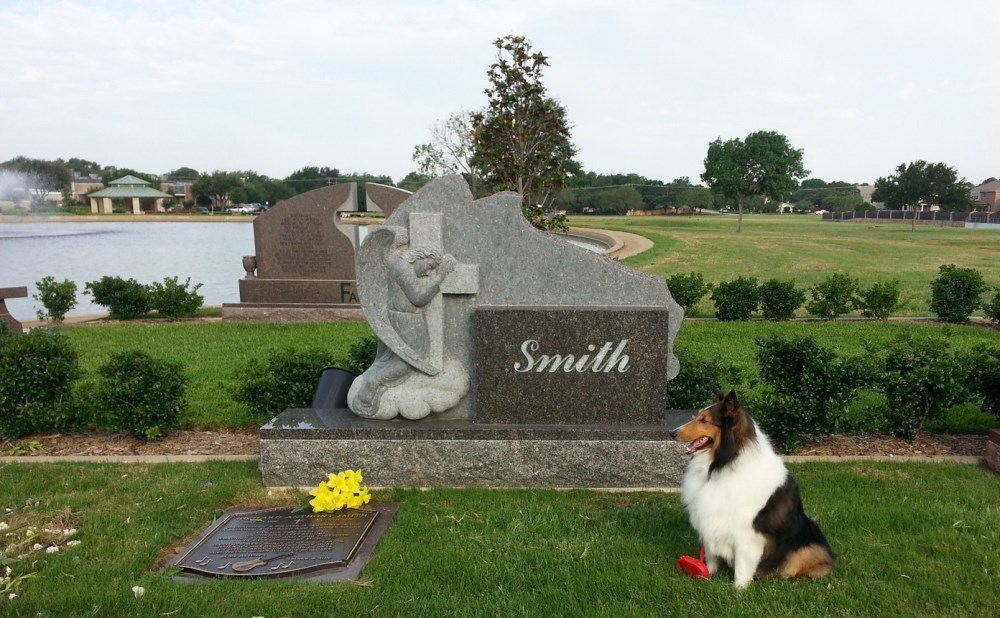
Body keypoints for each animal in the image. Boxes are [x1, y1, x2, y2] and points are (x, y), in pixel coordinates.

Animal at [672, 388, 836, 584]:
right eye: (696, 416)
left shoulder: (746, 533)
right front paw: (707, 575)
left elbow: (742, 566)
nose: (672, 433)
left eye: (704, 420)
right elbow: (711, 556)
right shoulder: (711, 520)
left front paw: (738, 588)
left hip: (809, 544)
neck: (724, 464)